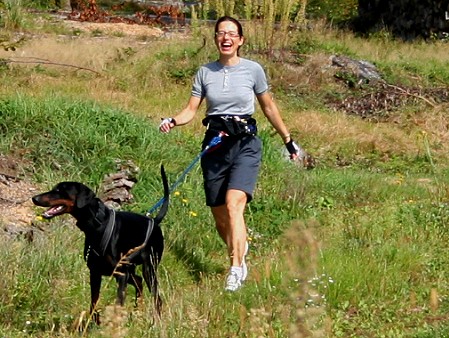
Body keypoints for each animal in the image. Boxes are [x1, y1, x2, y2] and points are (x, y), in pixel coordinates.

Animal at [31, 165, 168, 324]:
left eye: (60, 190)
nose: (34, 198)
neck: (97, 223)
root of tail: (155, 221)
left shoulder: (120, 274)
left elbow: (118, 302)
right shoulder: (95, 272)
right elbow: (94, 302)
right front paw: (93, 323)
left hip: (148, 268)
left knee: (156, 297)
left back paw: (156, 322)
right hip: (129, 269)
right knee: (139, 282)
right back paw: (137, 311)